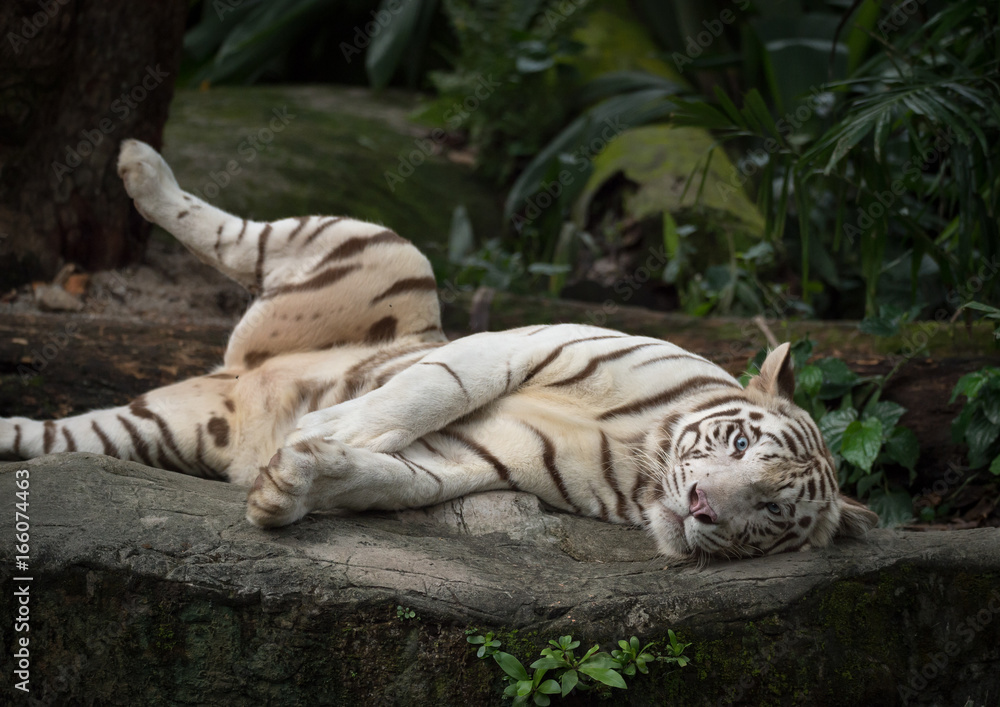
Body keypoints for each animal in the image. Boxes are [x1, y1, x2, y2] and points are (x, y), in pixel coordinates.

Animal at [0, 139, 878, 562]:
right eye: (739, 444)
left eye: (771, 511)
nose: (701, 506)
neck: (641, 458)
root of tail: (233, 372)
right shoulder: (524, 342)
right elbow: (425, 389)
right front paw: (320, 432)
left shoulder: (475, 462)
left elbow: (387, 475)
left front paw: (288, 484)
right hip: (390, 250)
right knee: (222, 229)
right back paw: (137, 163)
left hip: (152, 430)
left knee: (41, 436)